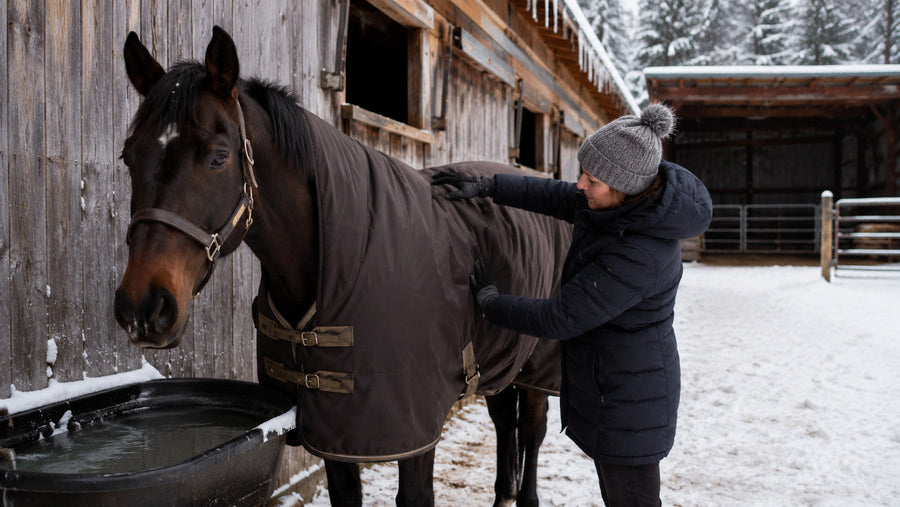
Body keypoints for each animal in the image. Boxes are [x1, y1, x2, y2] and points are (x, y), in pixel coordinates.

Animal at [114, 26, 569, 507]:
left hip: (539, 361)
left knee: (532, 430)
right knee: (503, 420)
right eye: (129, 156)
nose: (143, 307)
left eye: (218, 157)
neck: (339, 260)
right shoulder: (332, 430)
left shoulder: (413, 429)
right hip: (504, 356)